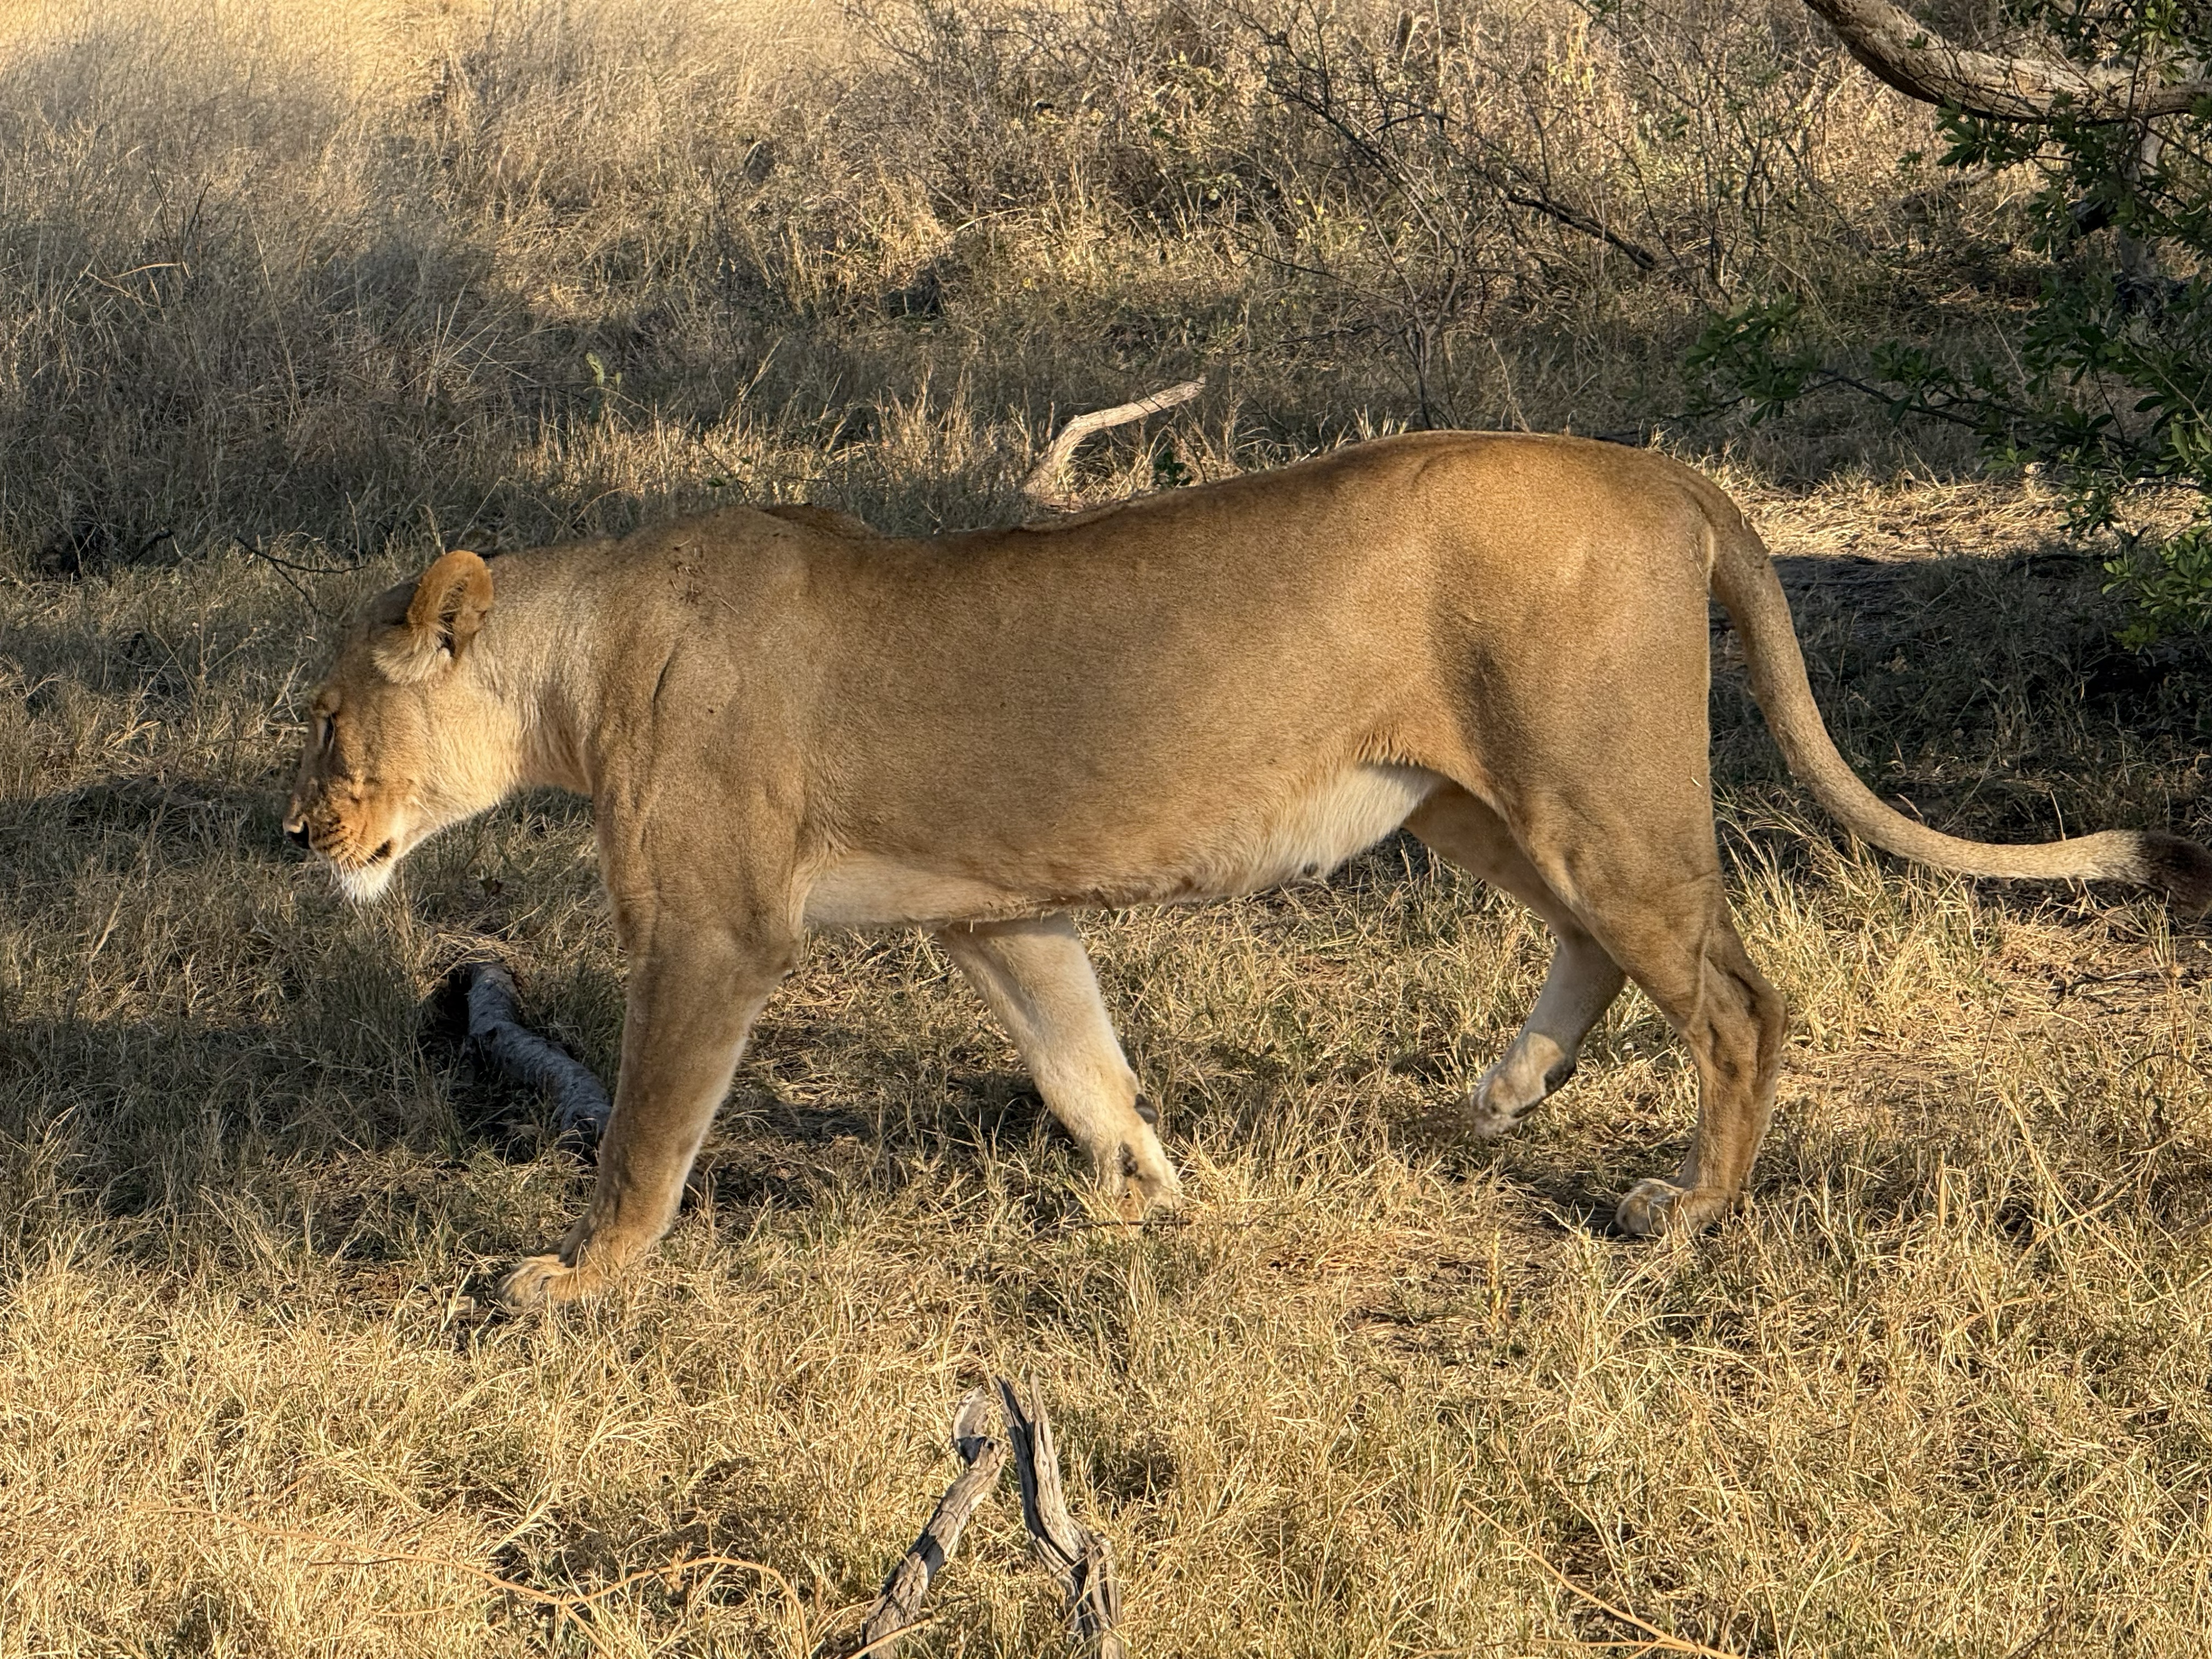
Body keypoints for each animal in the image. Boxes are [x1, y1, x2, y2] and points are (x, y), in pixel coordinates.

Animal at [283, 432, 2212, 1308]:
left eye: (326, 722)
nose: (300, 835)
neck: (583, 658)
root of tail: (1665, 468)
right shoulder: (1005, 916)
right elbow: (1084, 1064)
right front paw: (1154, 1196)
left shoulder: (714, 934)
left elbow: (645, 1135)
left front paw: (571, 1285)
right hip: (1469, 801)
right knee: (1603, 952)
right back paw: (1498, 1100)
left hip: (1583, 786)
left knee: (1738, 997)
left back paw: (1681, 1218)